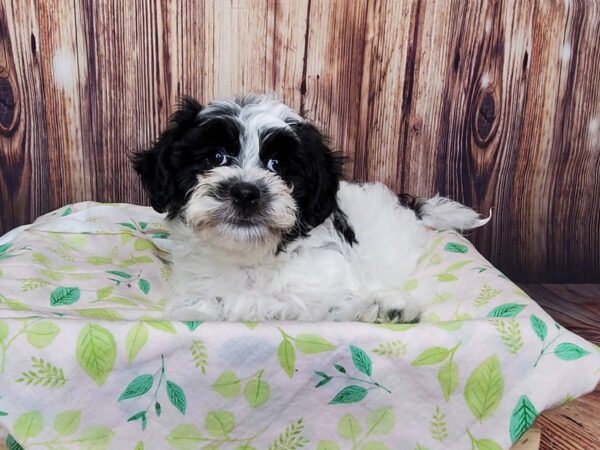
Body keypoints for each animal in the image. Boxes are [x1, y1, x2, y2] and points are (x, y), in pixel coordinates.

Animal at [132, 95, 488, 322]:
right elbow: (199, 308)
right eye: (215, 157)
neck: (252, 261)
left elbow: (336, 303)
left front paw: (386, 307)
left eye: (277, 165)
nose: (246, 192)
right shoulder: (196, 289)